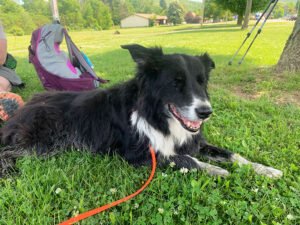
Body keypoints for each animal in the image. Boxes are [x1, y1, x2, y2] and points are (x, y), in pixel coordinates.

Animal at [0, 44, 282, 178]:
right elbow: (185, 160)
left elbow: (232, 154)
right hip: (40, 143)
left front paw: (266, 170)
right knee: (7, 150)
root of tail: (21, 110)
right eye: (176, 83)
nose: (205, 112)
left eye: (202, 82)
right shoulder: (139, 153)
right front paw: (218, 171)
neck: (156, 114)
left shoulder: (191, 140)